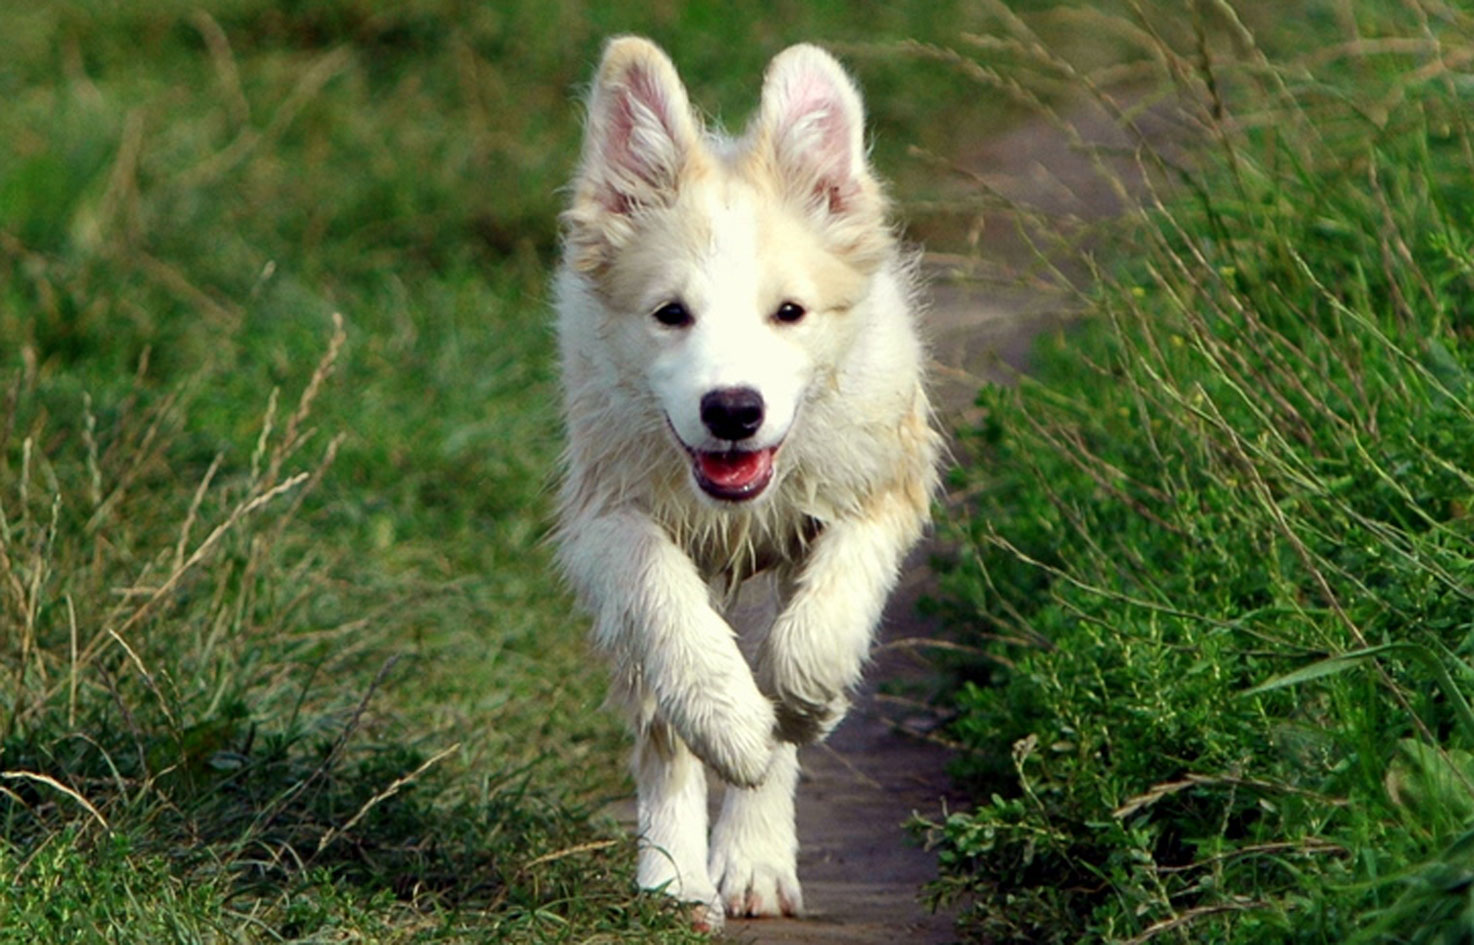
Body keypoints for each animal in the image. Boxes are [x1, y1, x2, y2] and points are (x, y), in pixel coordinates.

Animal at [548, 35, 937, 931]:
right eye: (670, 313)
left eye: (789, 312)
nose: (732, 410)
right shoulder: (606, 513)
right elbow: (673, 619)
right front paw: (731, 726)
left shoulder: (883, 485)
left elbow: (815, 631)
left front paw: (801, 705)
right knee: (661, 729)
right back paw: (676, 878)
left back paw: (754, 859)